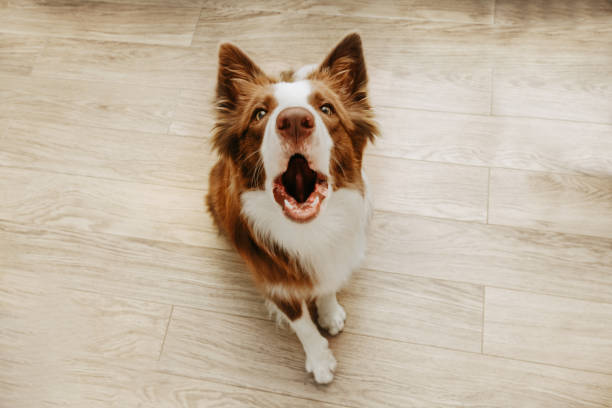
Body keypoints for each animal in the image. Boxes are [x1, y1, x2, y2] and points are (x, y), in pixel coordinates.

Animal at [208, 33, 376, 384]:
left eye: (326, 108)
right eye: (260, 114)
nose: (295, 120)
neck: (310, 231)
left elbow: (328, 285)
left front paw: (329, 313)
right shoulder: (275, 283)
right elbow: (302, 325)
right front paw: (321, 361)